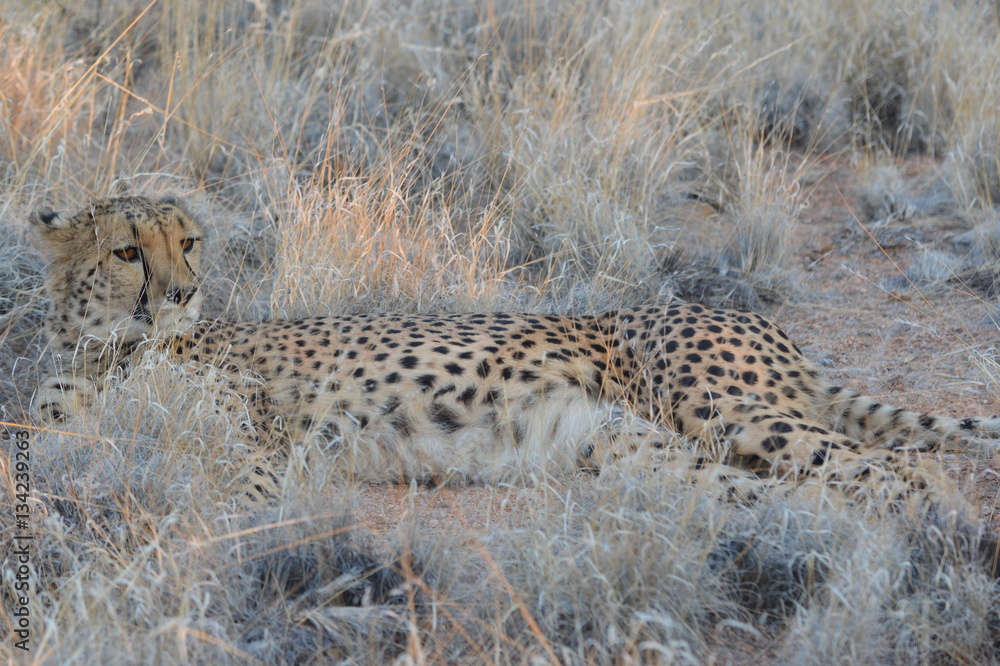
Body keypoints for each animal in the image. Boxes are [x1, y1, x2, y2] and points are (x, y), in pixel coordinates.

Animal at [27, 195, 1000, 515]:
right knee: (786, 490)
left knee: (901, 469)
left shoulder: (258, 437)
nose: (182, 293)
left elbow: (239, 490)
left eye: (188, 243)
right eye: (129, 251)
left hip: (719, 405)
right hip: (635, 449)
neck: (107, 349)